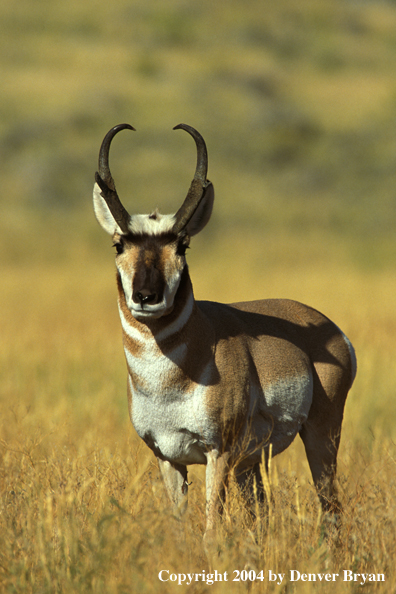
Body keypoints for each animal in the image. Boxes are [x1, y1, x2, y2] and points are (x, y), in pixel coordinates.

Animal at [93, 122, 356, 536]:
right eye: (119, 244)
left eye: (182, 246)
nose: (146, 296)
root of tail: (327, 326)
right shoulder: (167, 458)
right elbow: (180, 524)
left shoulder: (218, 453)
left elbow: (211, 528)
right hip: (252, 465)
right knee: (264, 514)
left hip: (320, 436)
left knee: (331, 509)